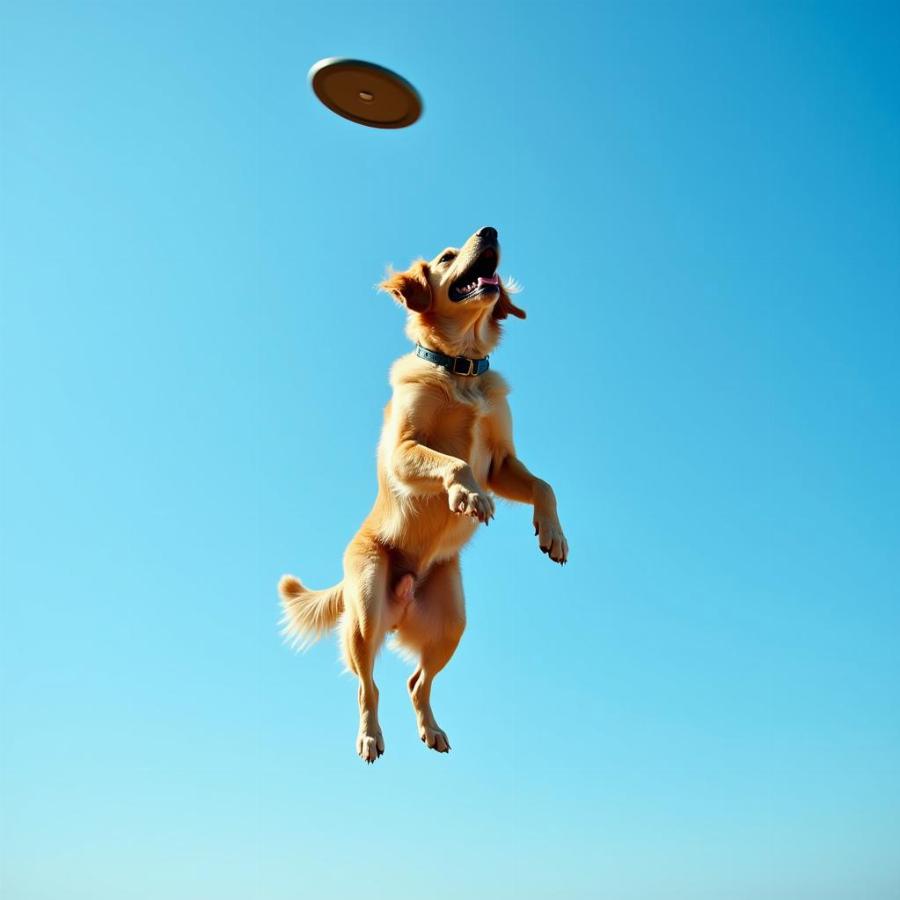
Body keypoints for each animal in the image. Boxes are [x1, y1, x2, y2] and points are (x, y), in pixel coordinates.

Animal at [278, 229, 568, 764]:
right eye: (446, 257)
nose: (490, 231)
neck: (462, 366)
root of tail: (398, 607)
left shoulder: (501, 462)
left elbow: (544, 483)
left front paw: (553, 533)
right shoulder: (403, 450)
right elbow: (450, 462)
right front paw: (468, 498)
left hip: (452, 620)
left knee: (416, 682)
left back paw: (431, 729)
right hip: (366, 606)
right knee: (367, 685)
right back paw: (370, 736)